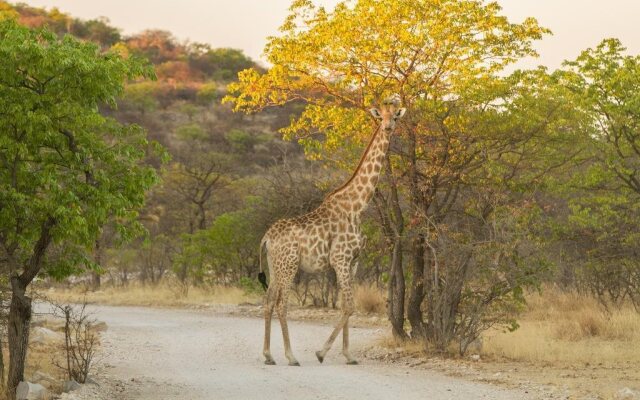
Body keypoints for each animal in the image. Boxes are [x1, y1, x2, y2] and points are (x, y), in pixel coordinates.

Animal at [258, 99, 404, 366]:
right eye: (381, 117)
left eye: (396, 117)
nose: (388, 128)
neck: (357, 206)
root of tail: (266, 238)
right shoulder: (340, 259)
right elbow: (349, 307)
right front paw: (321, 352)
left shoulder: (353, 262)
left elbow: (345, 305)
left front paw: (349, 355)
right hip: (289, 265)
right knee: (282, 304)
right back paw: (291, 356)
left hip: (275, 267)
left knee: (268, 301)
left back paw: (269, 355)